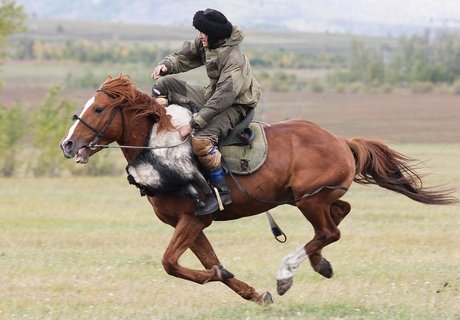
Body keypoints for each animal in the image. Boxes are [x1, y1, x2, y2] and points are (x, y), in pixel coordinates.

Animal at [60, 75, 456, 304]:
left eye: (98, 109)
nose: (67, 145)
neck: (158, 145)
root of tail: (341, 141)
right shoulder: (190, 225)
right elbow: (203, 261)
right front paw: (251, 292)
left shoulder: (195, 219)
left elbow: (172, 262)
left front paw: (228, 277)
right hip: (309, 198)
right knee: (338, 218)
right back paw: (319, 264)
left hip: (309, 200)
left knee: (329, 230)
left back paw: (287, 273)